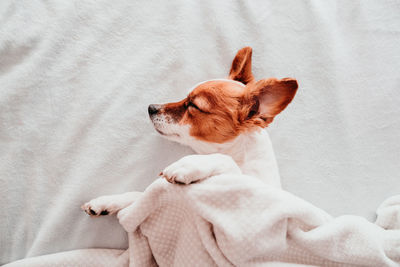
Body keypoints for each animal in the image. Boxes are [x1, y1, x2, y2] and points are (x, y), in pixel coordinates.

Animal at [82, 46, 296, 218]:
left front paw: (187, 165)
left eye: (194, 105)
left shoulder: (255, 194)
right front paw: (108, 201)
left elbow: (224, 160)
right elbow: (141, 196)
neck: (243, 158)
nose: (151, 108)